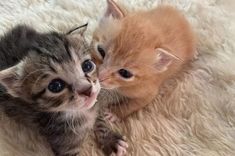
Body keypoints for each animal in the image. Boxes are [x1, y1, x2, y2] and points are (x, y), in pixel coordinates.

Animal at [0, 23, 126, 155]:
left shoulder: (95, 105)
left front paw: (110, 140)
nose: (87, 90)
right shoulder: (63, 142)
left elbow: (100, 120)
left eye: (87, 66)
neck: (79, 113)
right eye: (56, 86)